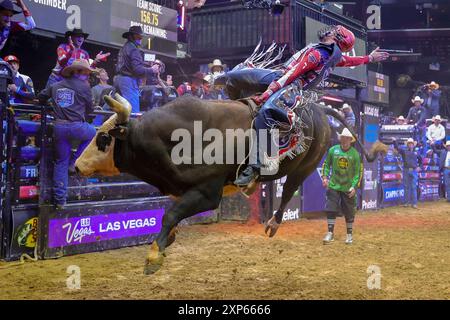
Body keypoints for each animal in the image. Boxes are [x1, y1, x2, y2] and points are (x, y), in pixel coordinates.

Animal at [75, 94, 384, 274]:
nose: (77, 166)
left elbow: (171, 214)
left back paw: (273, 223)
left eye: (103, 138)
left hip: (306, 165)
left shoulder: (207, 192)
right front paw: (167, 239)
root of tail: (317, 109)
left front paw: (154, 255)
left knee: (287, 191)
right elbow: (170, 213)